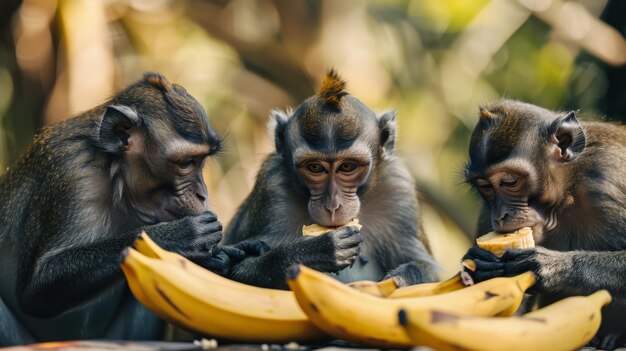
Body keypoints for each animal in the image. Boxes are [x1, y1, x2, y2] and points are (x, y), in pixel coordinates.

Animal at [0, 73, 256, 348]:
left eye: (202, 161)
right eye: (187, 163)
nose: (203, 194)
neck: (112, 171)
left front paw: (215, 258)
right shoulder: (71, 172)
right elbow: (37, 288)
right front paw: (177, 238)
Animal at [222, 69, 436, 292]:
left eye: (347, 166)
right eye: (315, 168)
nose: (333, 205)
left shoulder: (399, 189)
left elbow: (429, 269)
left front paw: (404, 277)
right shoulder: (271, 188)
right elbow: (238, 269)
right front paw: (313, 252)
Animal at [458, 99, 624, 351]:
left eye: (510, 181)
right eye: (485, 186)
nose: (500, 215)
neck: (568, 192)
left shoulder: (605, 183)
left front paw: (550, 266)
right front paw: (480, 267)